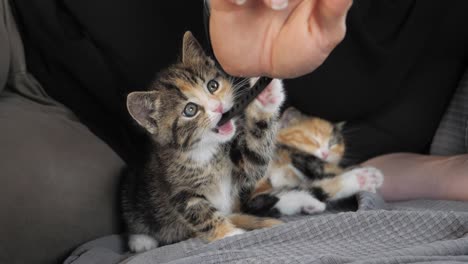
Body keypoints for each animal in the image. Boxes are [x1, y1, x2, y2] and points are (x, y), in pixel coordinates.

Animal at [119, 32, 284, 253]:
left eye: (212, 86)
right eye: (190, 110)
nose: (218, 106)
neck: (206, 153)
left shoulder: (241, 169)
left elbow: (255, 159)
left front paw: (265, 96)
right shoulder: (179, 192)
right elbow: (202, 214)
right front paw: (229, 234)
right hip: (131, 194)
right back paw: (141, 240)